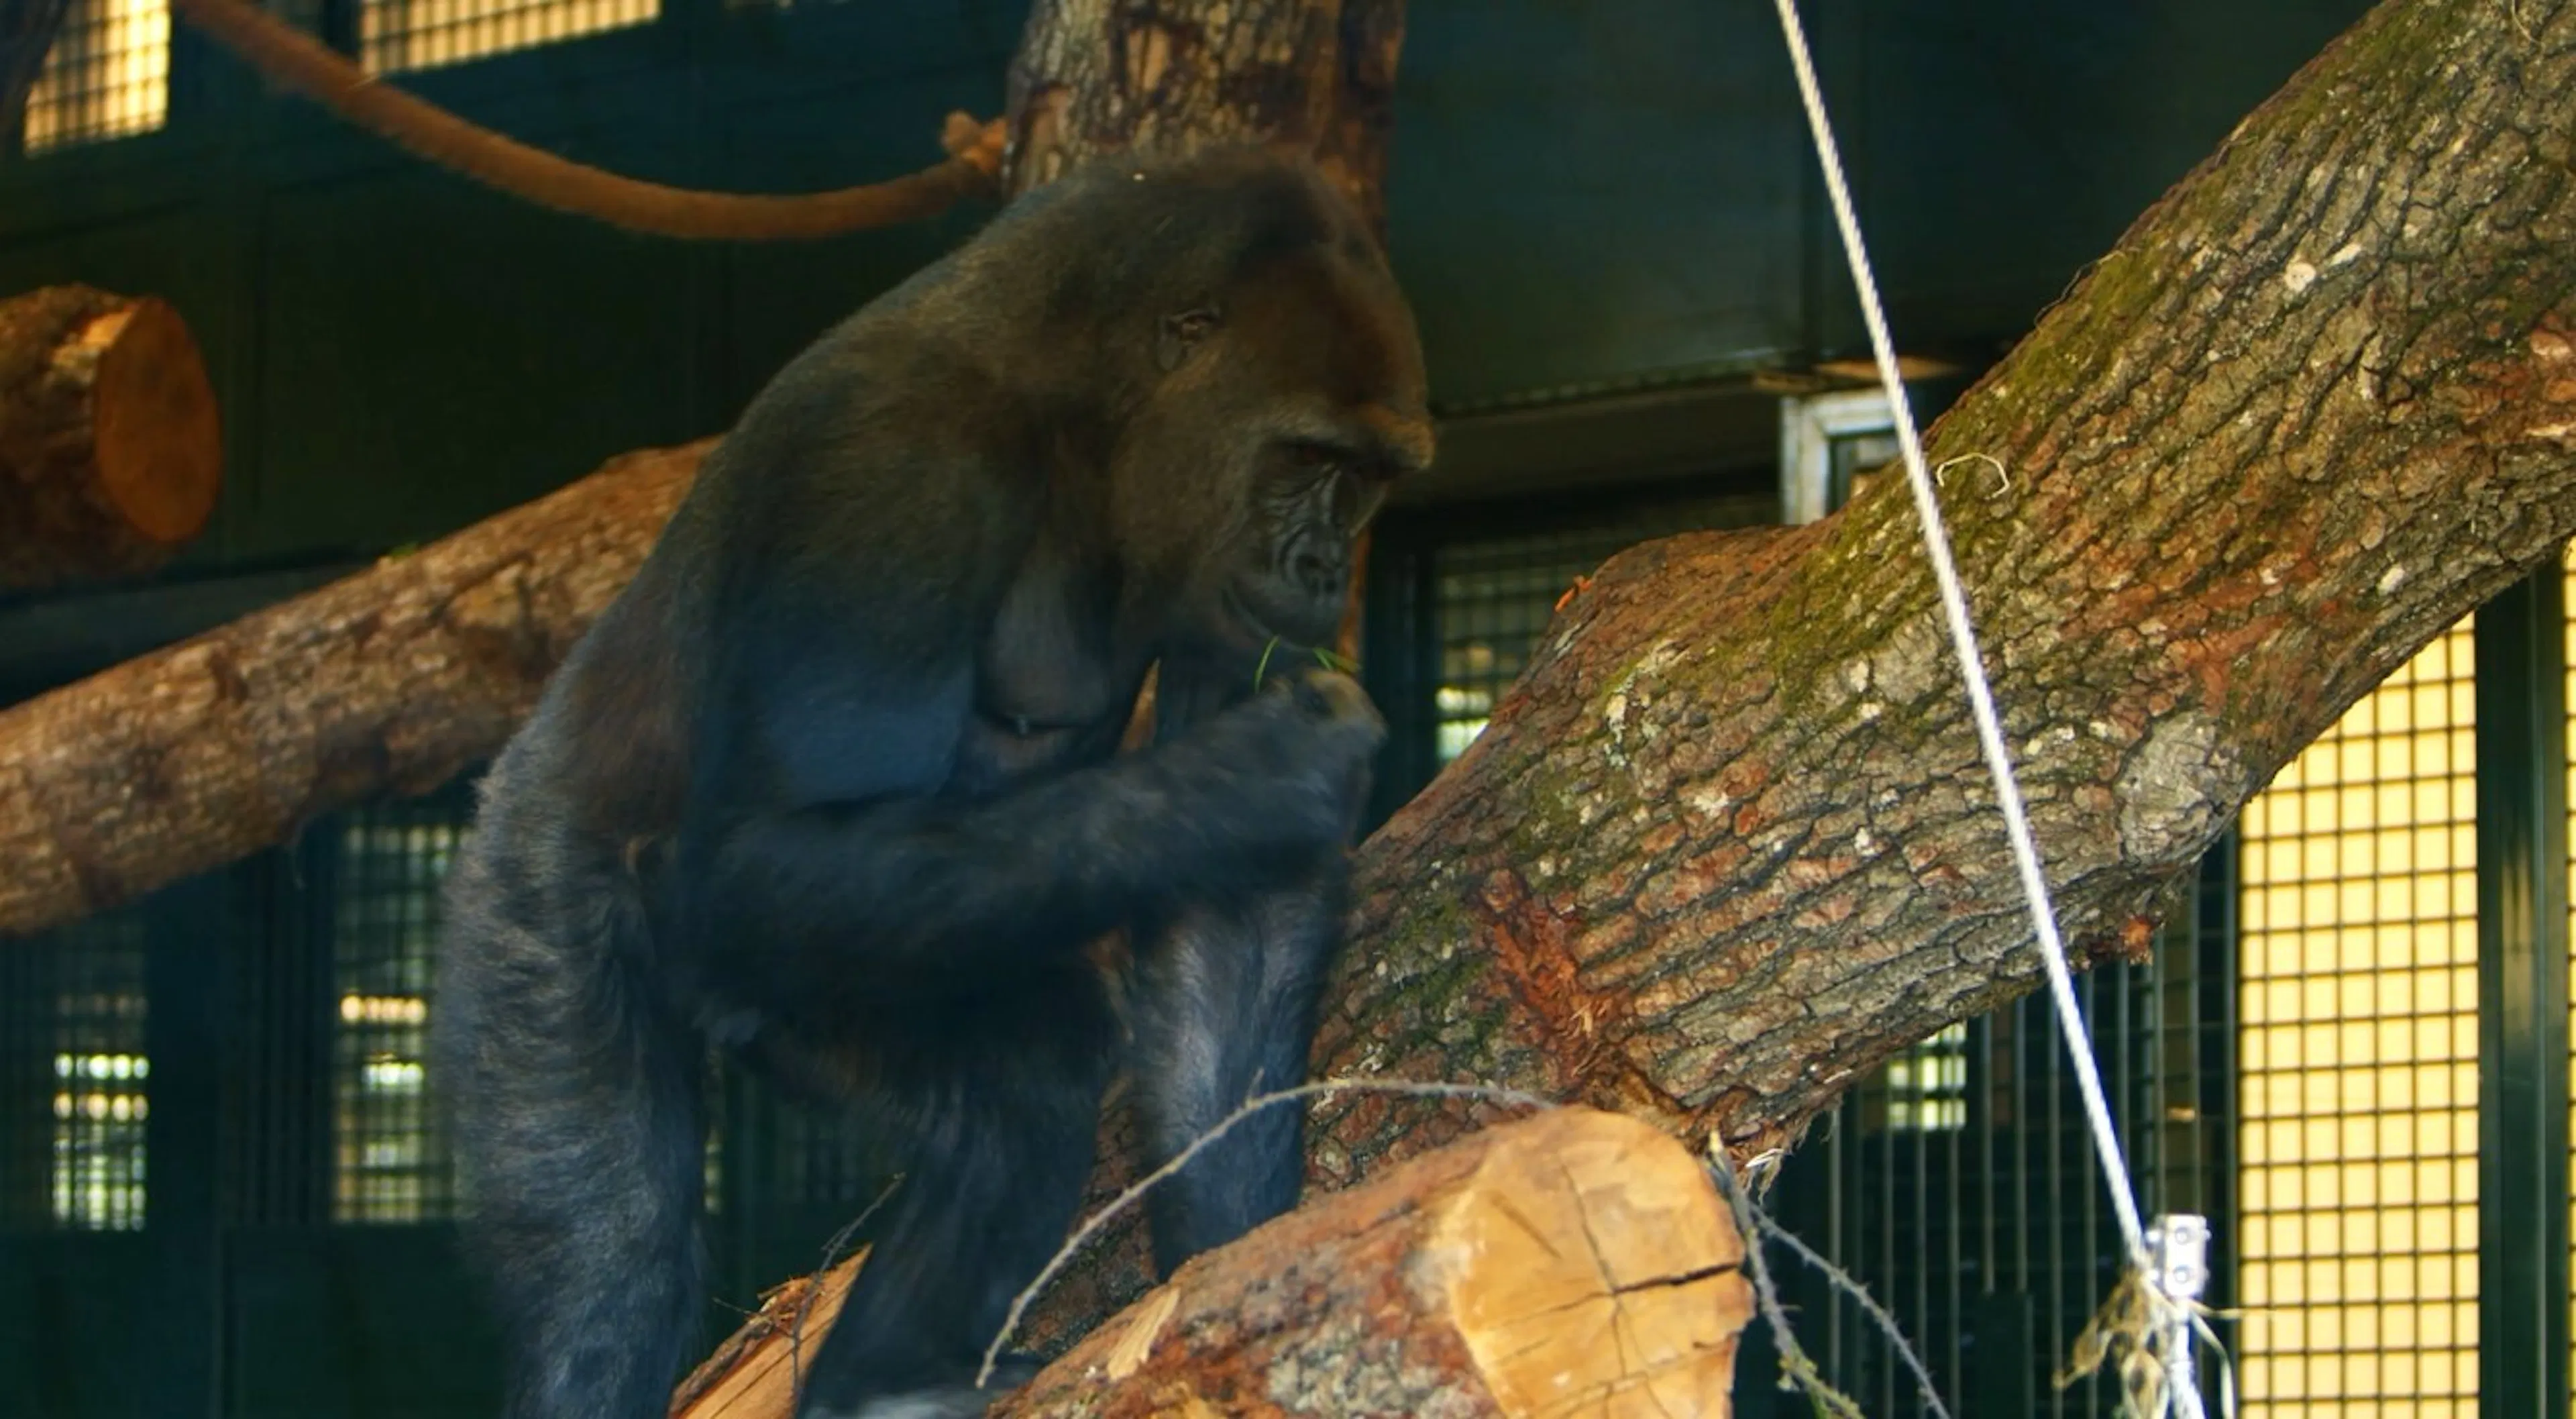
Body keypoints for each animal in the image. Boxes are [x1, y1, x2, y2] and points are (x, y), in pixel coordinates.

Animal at [429, 144, 1434, 1419]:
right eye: (1305, 461)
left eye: (1368, 479)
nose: (1320, 567)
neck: (1091, 405)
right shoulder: (895, 464)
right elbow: (770, 848)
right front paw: (1263, 774)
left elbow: (1234, 925)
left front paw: (1239, 1263)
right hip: (530, 874)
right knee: (608, 1269)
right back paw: (864, 1378)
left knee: (1012, 1062)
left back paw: (878, 1378)